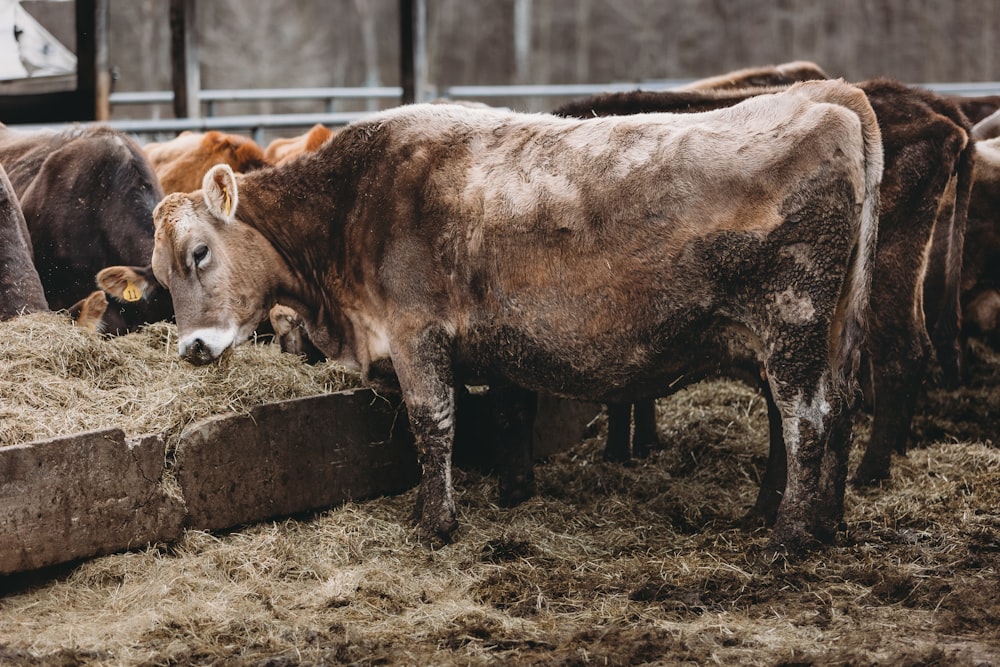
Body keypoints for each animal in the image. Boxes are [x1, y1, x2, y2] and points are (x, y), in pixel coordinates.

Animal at [150, 81, 884, 556]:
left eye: (199, 252)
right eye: (158, 273)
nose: (192, 347)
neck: (352, 207)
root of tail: (825, 101)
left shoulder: (416, 334)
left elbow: (433, 424)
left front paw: (436, 523)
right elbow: (494, 412)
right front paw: (495, 493)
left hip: (792, 321)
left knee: (806, 418)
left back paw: (787, 536)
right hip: (826, 331)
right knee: (838, 407)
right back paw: (819, 521)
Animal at [564, 78, 976, 496]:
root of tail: (935, 111)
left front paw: (619, 452)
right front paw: (642, 445)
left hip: (884, 267)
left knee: (899, 353)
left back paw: (871, 472)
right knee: (918, 347)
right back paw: (898, 449)